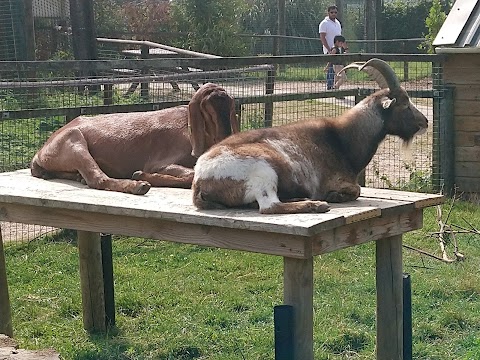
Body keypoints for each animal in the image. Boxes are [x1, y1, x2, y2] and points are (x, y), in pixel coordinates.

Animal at [31, 82, 239, 194]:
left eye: (230, 104)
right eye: (206, 106)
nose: (225, 135)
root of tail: (40, 153)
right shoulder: (160, 163)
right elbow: (190, 174)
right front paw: (141, 175)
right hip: (74, 141)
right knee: (97, 179)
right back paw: (137, 186)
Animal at [193, 59, 430, 214]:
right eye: (405, 103)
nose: (425, 122)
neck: (341, 138)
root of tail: (199, 180)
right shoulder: (335, 180)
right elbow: (356, 189)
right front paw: (333, 197)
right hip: (263, 171)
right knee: (269, 206)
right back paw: (317, 204)